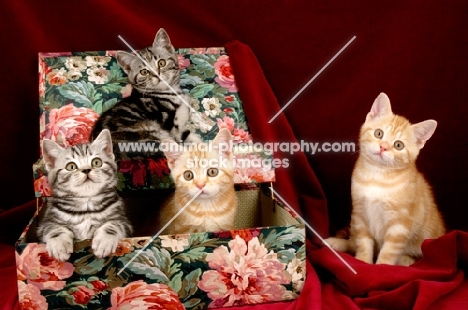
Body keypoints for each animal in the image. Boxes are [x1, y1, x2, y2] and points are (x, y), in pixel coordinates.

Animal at [37, 129, 133, 262]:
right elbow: (55, 228)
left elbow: (112, 224)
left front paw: (104, 241)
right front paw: (59, 244)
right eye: (71, 166)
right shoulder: (46, 223)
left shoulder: (123, 222)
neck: (86, 207)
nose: (86, 169)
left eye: (96, 162)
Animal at [326, 93, 446, 266]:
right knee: (353, 241)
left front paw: (381, 266)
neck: (377, 177)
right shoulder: (360, 215)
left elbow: (389, 251)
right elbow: (362, 243)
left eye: (398, 145)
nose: (383, 147)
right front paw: (362, 261)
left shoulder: (400, 225)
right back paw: (336, 243)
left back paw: (405, 260)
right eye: (378, 134)